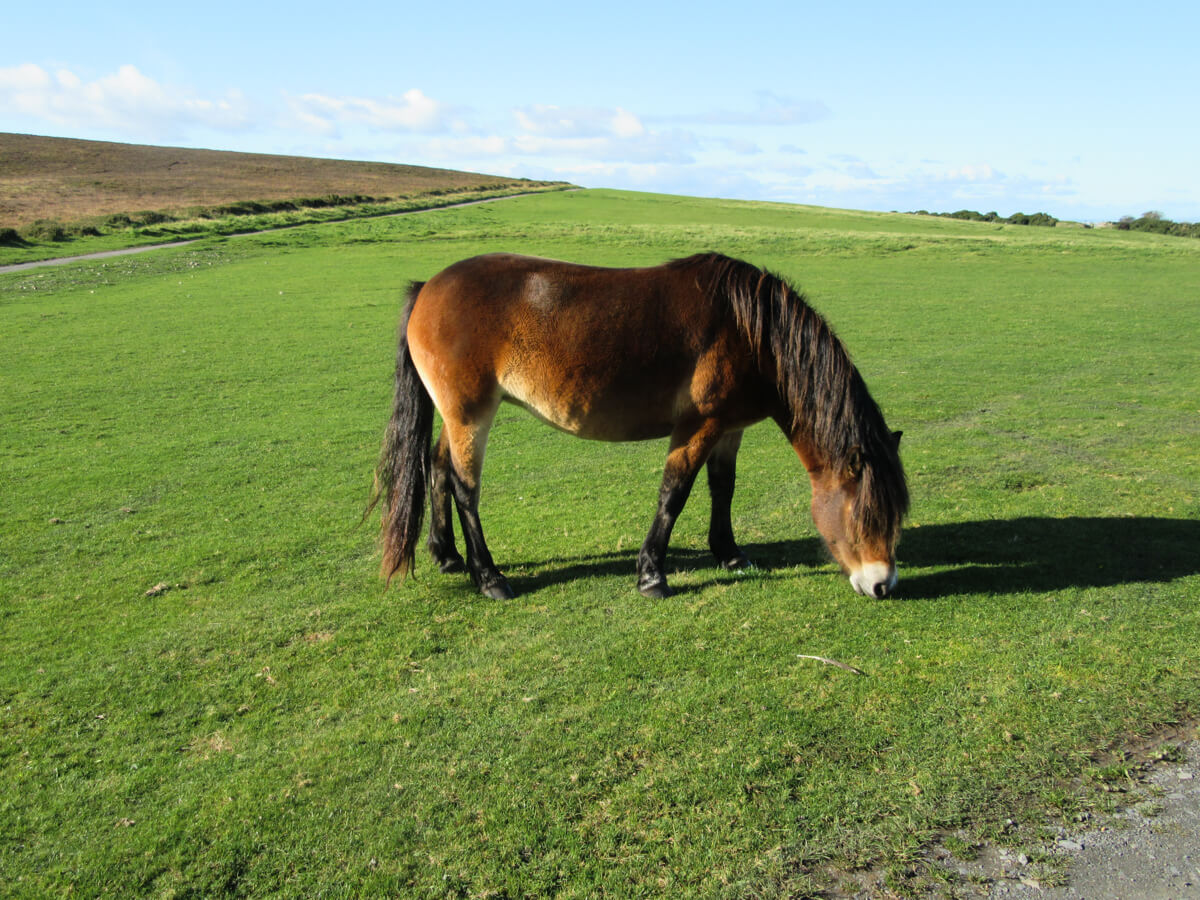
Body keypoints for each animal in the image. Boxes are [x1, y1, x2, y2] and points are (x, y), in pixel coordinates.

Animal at [370, 252, 908, 600]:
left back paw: (446, 555)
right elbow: (674, 494)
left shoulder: (728, 428)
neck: (750, 331)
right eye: (865, 516)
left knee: (438, 468)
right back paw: (489, 578)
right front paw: (652, 576)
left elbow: (723, 487)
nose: (882, 584)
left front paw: (729, 553)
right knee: (464, 487)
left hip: (456, 417)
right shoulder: (698, 425)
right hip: (470, 416)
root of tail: (428, 287)